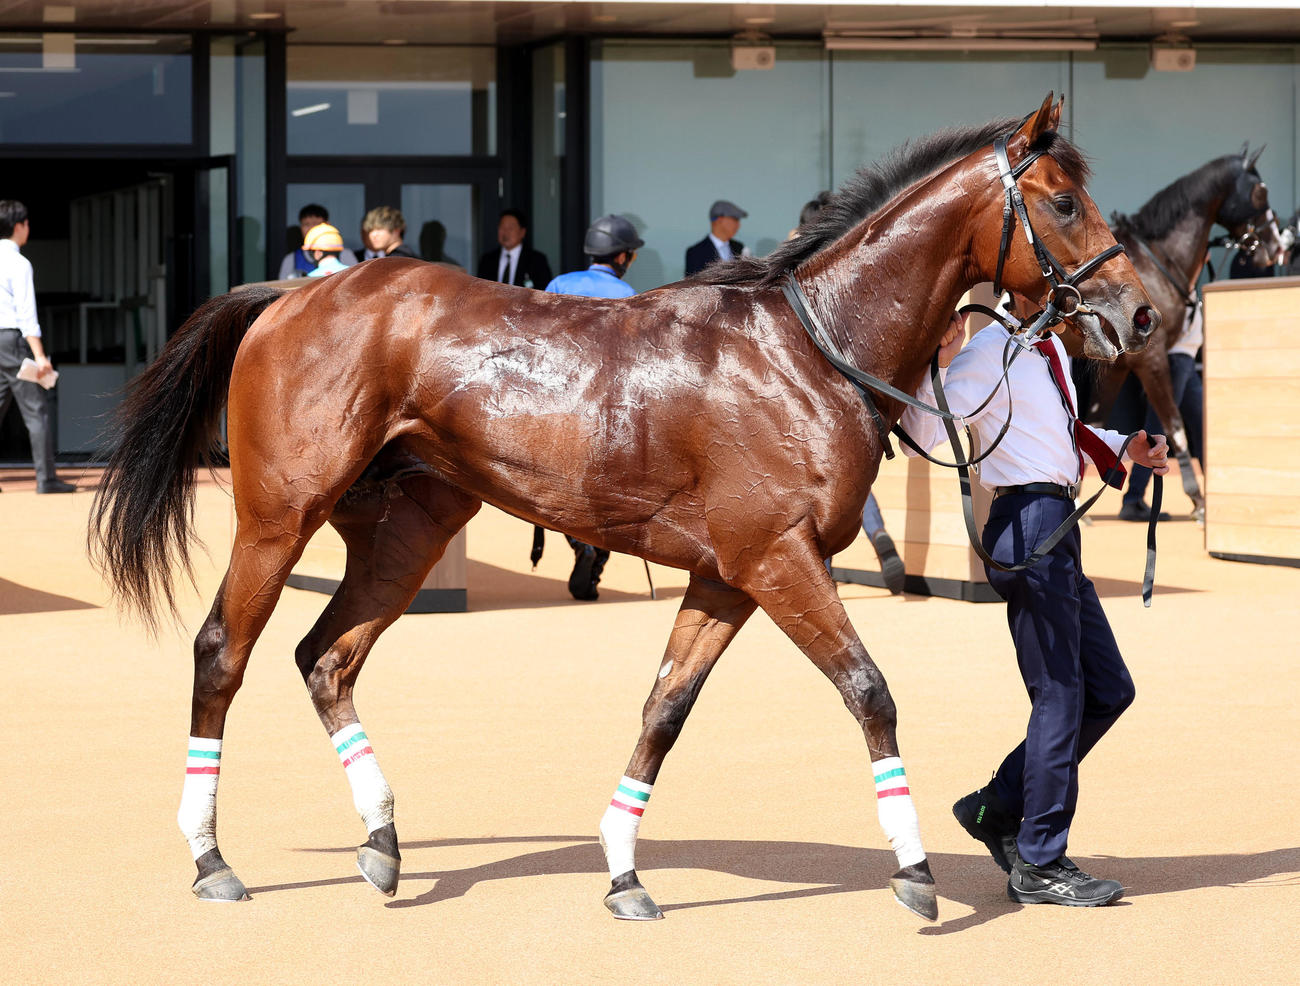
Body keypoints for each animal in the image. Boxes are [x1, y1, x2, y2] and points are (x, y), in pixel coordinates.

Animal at [89, 94, 1157, 923]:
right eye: (1065, 201)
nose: (1144, 313)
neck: (809, 350)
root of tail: (288, 294)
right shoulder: (779, 559)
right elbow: (870, 691)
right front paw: (915, 869)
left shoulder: (727, 576)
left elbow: (663, 710)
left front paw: (623, 872)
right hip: (280, 518)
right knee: (223, 653)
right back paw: (212, 859)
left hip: (408, 527)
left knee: (327, 657)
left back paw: (384, 840)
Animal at [1078, 147, 1283, 516]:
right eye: (1261, 192)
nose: (1275, 246)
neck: (1154, 264)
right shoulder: (1151, 359)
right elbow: (1175, 427)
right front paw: (1198, 499)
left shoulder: (1118, 365)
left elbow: (1096, 423)